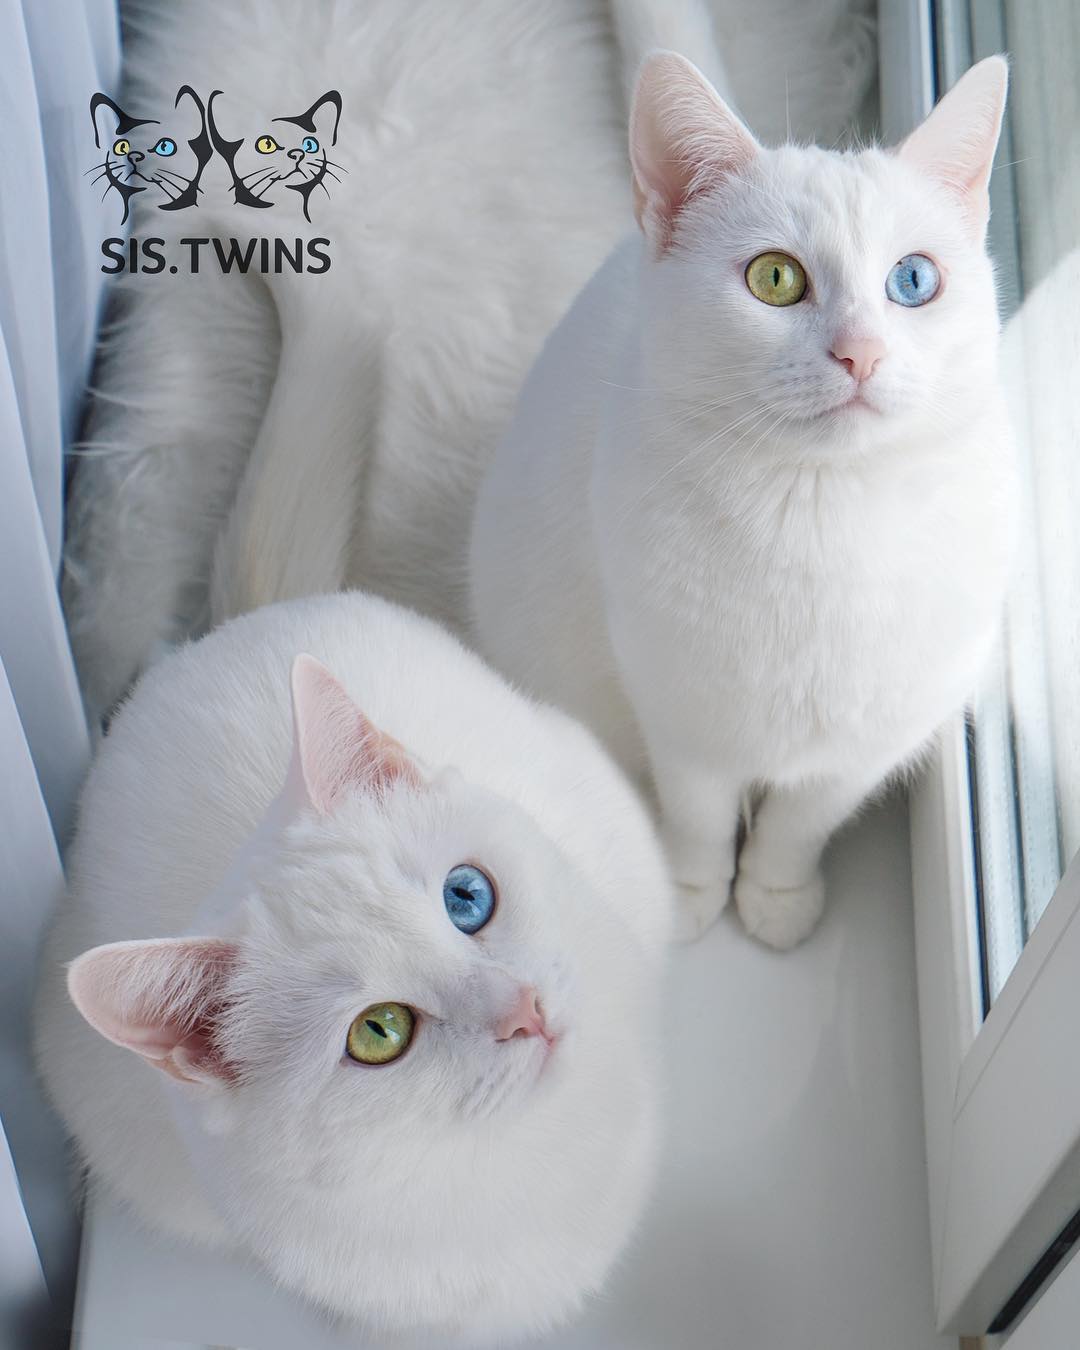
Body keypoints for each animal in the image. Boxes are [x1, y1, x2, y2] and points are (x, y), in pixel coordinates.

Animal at [467, 55, 1015, 950]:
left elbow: (800, 822)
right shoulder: (681, 711)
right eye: (775, 277)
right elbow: (699, 815)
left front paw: (776, 894)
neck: (823, 520)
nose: (860, 353)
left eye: (913, 280)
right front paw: (688, 890)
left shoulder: (867, 739)